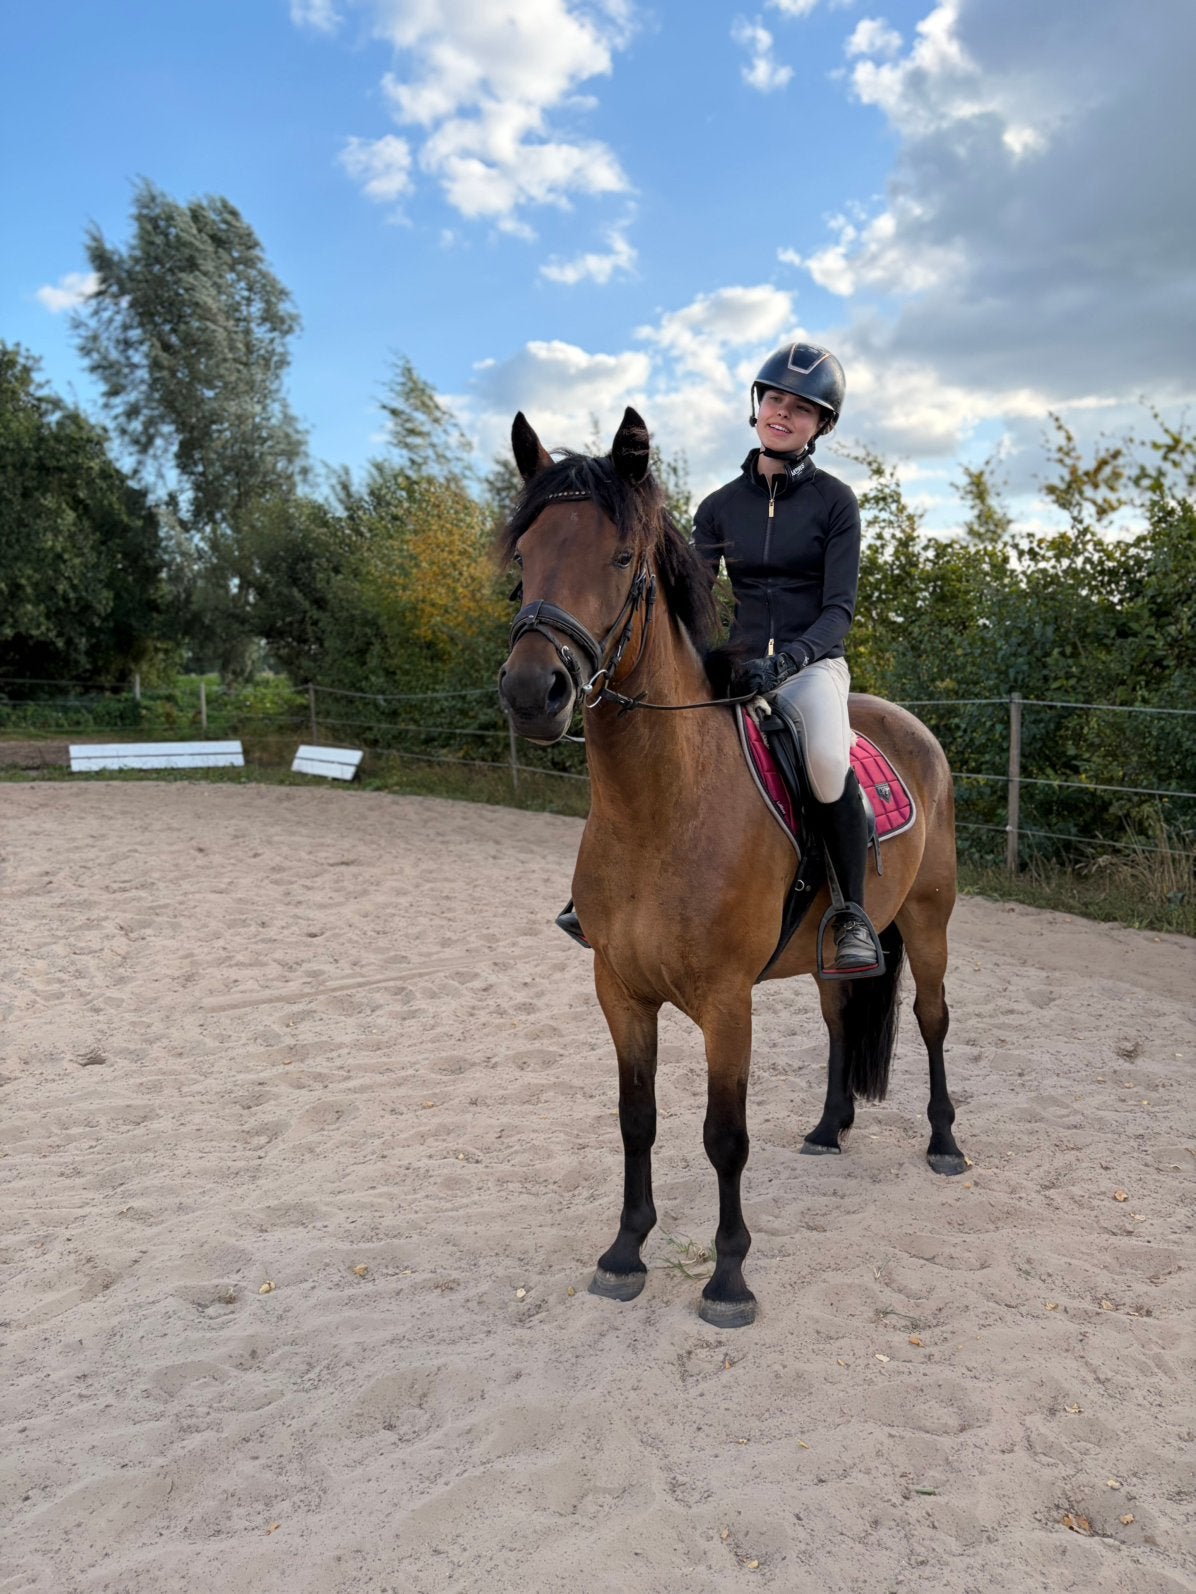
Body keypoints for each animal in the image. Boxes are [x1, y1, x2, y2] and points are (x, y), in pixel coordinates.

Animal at [497, 406, 966, 1328]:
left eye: (622, 558)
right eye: (524, 555)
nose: (534, 693)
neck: (661, 811)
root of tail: (909, 726)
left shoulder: (725, 1002)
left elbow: (724, 1135)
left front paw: (728, 1277)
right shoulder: (619, 990)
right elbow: (636, 1119)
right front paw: (625, 1252)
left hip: (929, 921)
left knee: (931, 1021)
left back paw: (944, 1142)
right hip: (831, 953)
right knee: (840, 1018)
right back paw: (828, 1129)